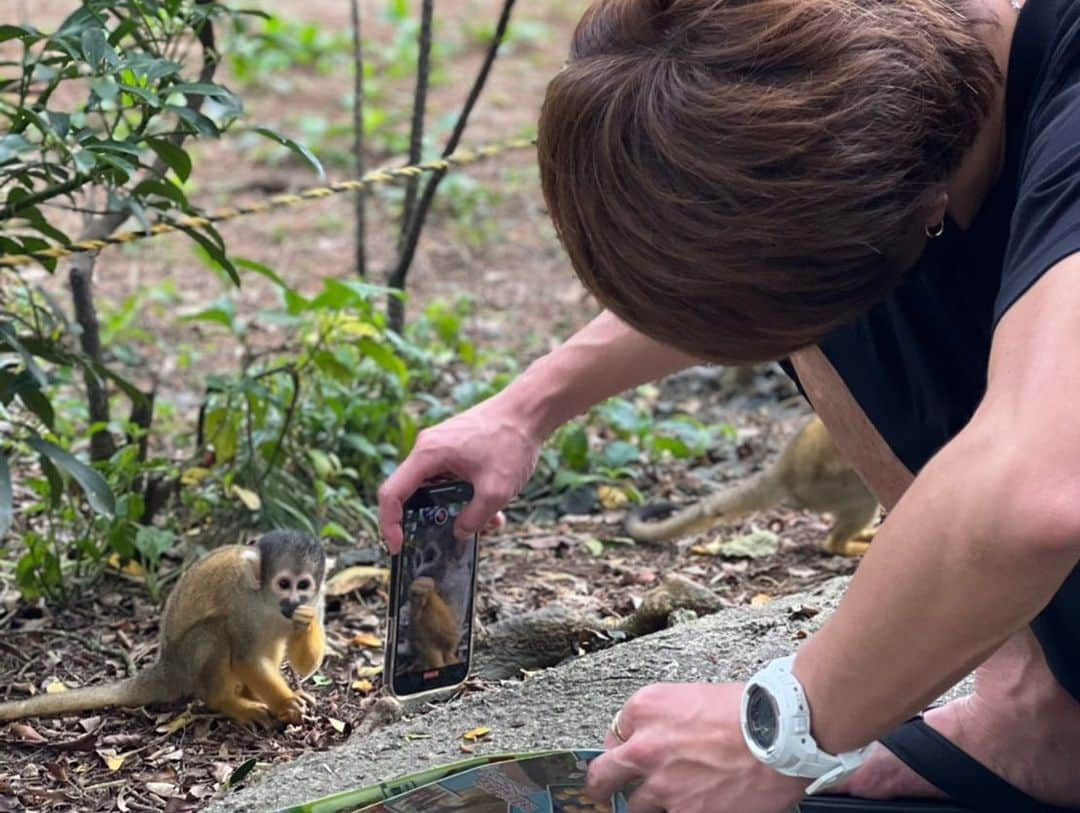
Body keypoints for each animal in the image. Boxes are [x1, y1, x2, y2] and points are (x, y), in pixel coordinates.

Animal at [1, 529, 328, 725]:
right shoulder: (242, 605)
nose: (294, 602)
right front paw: (286, 703)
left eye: (303, 586)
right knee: (214, 633)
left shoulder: (318, 600)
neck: (268, 603)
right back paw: (228, 702)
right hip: (187, 663)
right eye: (284, 584)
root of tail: (166, 669)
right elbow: (247, 658)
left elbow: (304, 665)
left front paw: (306, 622)